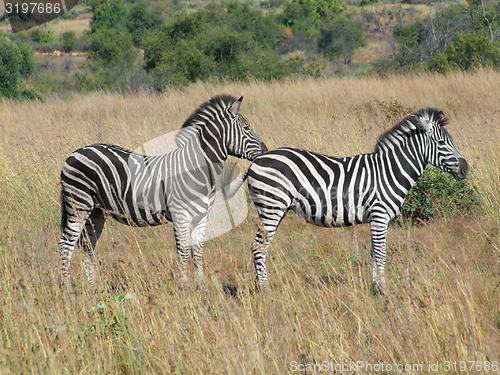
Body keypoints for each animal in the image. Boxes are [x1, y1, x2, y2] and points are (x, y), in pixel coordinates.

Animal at [58, 94, 268, 288]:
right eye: (247, 128)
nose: (266, 150)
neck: (198, 170)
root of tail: (74, 153)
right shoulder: (181, 216)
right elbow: (183, 252)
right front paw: (184, 287)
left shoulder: (202, 217)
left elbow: (198, 251)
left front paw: (201, 287)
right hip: (79, 205)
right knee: (65, 245)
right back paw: (67, 288)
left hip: (96, 211)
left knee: (86, 246)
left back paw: (93, 288)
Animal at [223, 107, 468, 292]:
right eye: (442, 143)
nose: (465, 169)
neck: (389, 170)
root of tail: (257, 161)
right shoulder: (380, 215)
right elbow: (381, 253)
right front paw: (382, 290)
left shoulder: (375, 219)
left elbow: (374, 252)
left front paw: (375, 286)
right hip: (271, 207)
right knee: (258, 247)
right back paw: (264, 290)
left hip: (276, 209)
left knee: (259, 246)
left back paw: (259, 286)